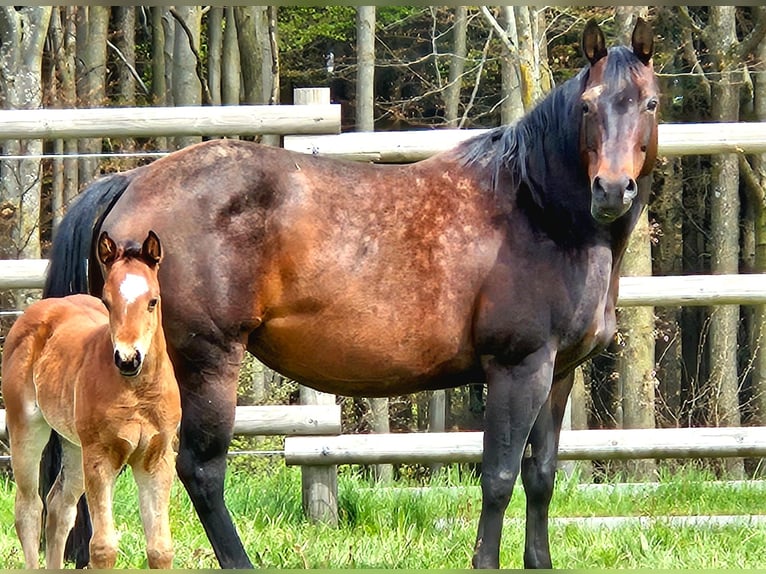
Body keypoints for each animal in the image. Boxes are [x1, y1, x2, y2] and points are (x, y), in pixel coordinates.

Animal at [42, 18, 660, 572]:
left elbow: (541, 476)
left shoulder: (557, 373)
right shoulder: (519, 367)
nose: (611, 190)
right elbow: (500, 476)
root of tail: (131, 181)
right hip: (203, 361)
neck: (535, 209)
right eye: (589, 105)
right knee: (199, 469)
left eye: (650, 103)